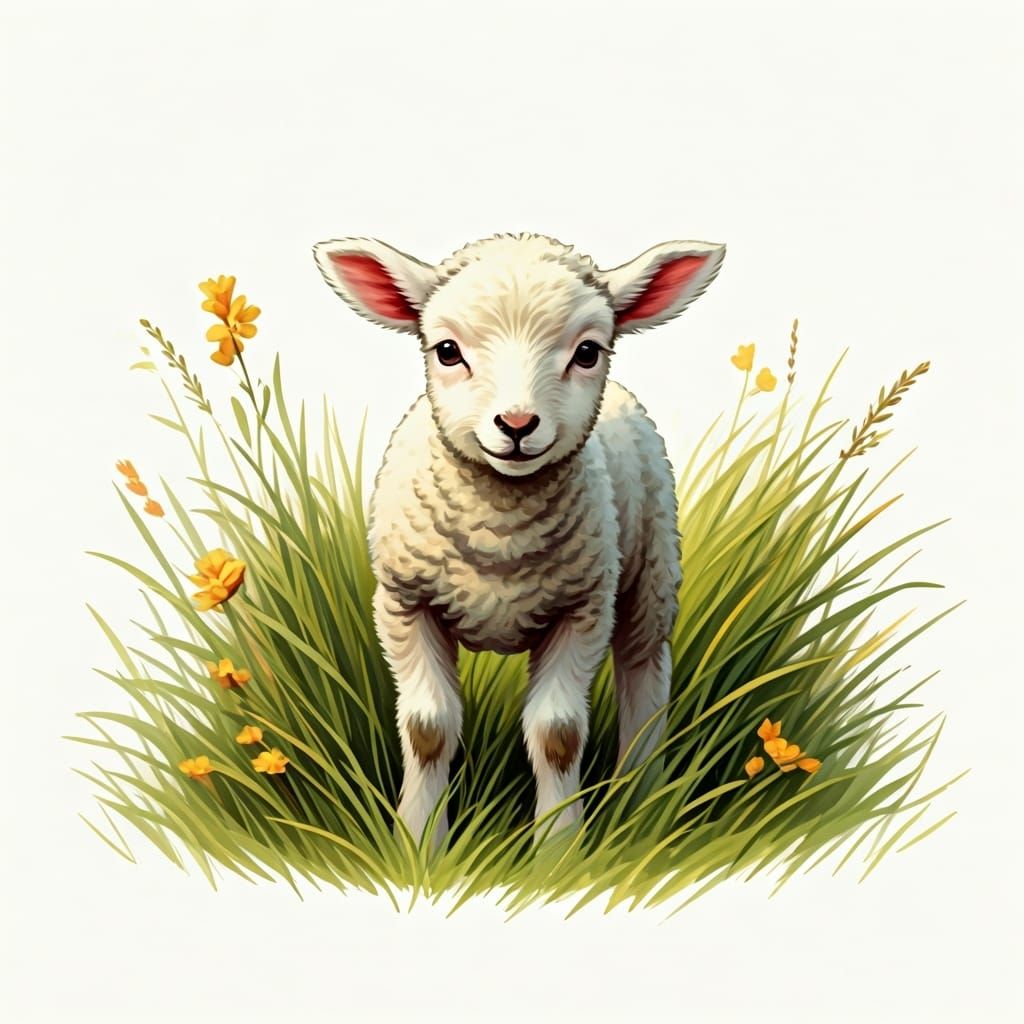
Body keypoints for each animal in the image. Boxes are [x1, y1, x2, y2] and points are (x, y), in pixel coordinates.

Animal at [313, 232, 725, 846]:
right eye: (447, 351)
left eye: (587, 352)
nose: (516, 425)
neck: (499, 537)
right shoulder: (405, 602)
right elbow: (427, 729)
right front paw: (418, 843)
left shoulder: (583, 607)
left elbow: (557, 735)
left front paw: (558, 848)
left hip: (651, 568)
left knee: (643, 672)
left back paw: (642, 798)